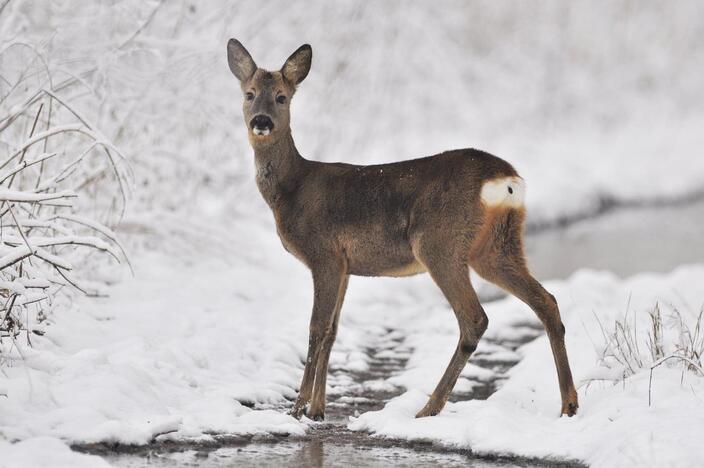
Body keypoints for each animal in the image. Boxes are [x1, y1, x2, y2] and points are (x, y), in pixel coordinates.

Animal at [226, 39, 576, 420]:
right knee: (547, 302)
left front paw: (298, 408)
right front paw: (318, 409)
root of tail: (506, 179)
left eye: (281, 97)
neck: (293, 188)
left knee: (475, 318)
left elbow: (316, 328)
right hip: (497, 246)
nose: (261, 121)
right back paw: (569, 404)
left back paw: (429, 408)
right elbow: (333, 330)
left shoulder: (325, 254)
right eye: (248, 94)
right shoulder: (346, 266)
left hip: (439, 243)